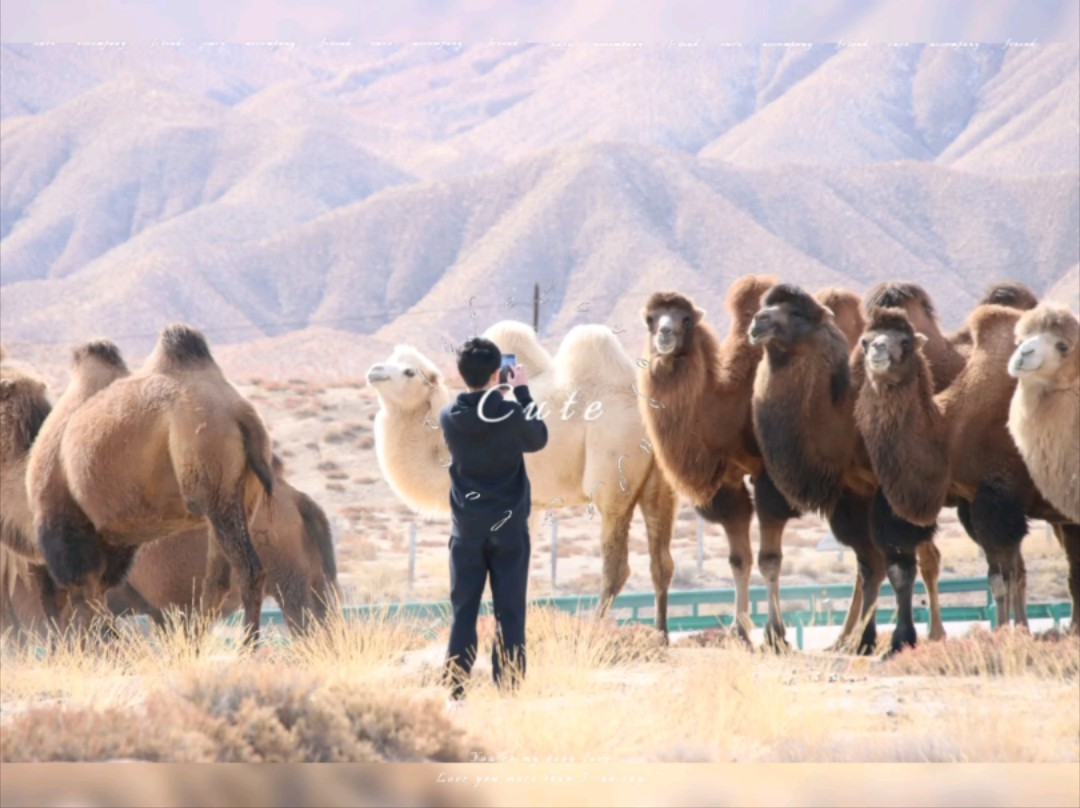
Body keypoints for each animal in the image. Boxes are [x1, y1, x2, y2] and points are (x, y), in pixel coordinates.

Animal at [26, 324, 274, 648]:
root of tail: (242, 417)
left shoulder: (65, 518)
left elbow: (83, 596)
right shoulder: (110, 539)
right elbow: (96, 595)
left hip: (213, 483)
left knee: (247, 569)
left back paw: (246, 648)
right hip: (239, 495)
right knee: (217, 580)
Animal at [630, 278, 803, 648]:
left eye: (685, 319)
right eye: (651, 319)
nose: (665, 334)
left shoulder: (769, 477)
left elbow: (770, 559)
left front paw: (776, 634)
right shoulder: (727, 483)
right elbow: (739, 560)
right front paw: (740, 632)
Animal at [851, 306, 1071, 639]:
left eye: (905, 342)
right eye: (865, 340)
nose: (877, 350)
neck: (950, 431)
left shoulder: (1000, 498)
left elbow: (1003, 578)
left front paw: (1004, 632)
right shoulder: (976, 502)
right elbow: (1007, 573)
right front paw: (1015, 630)